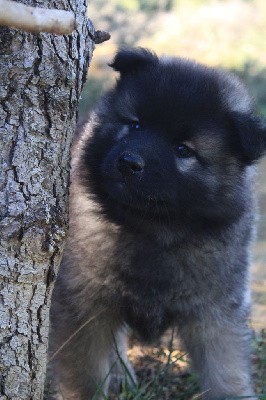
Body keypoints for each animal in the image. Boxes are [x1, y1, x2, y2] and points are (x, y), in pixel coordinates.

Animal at [48, 47, 264, 400]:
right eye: (135, 125)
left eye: (183, 150)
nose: (129, 163)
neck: (153, 229)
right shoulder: (84, 306)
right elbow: (86, 375)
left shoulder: (215, 312)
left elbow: (226, 370)